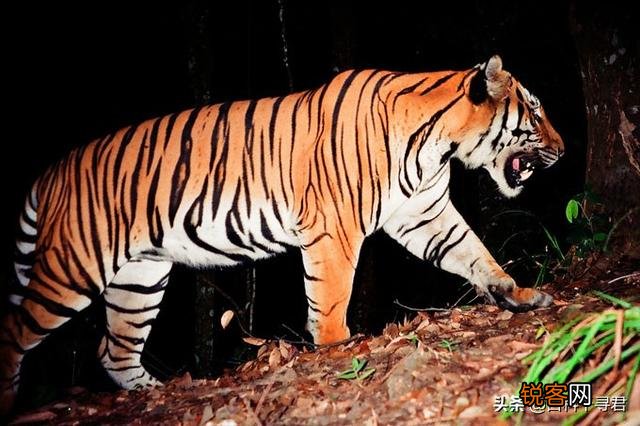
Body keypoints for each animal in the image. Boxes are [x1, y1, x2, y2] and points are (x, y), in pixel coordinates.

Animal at [0, 55, 563, 414]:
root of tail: (50, 172)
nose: (562, 149)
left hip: (140, 277)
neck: (438, 144)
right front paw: (338, 348)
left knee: (113, 350)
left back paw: (154, 392)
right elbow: (330, 298)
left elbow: (474, 252)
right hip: (75, 268)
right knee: (13, 330)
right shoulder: (335, 228)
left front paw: (518, 293)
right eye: (535, 111)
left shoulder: (422, 213)